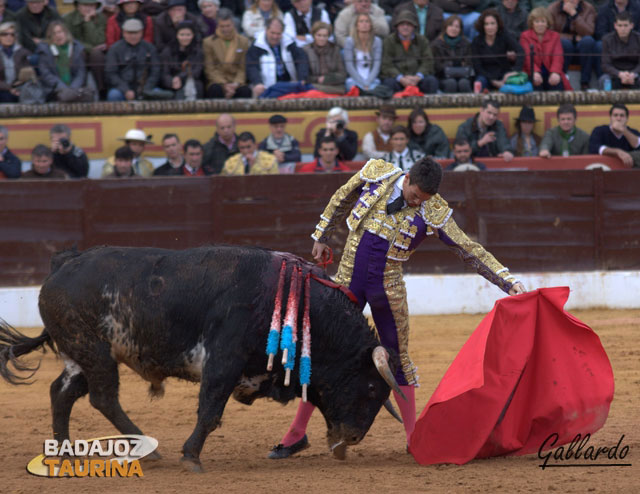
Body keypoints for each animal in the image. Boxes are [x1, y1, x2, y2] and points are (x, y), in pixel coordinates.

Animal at [0, 246, 400, 470]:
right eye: (370, 388)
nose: (352, 438)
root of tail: (63, 265)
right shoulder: (224, 360)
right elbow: (210, 410)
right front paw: (191, 456)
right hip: (94, 351)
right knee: (102, 397)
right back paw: (146, 450)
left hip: (82, 354)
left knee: (62, 392)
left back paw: (64, 453)